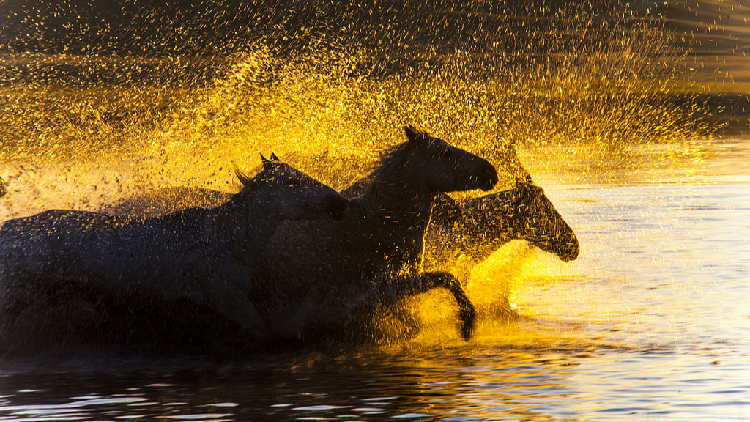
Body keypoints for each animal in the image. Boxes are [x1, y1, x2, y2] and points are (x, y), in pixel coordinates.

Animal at [0, 155, 352, 350]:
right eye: (292, 181)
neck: (227, 239)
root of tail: (6, 231)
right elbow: (261, 332)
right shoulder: (226, 295)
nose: (340, 203)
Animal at [248, 125, 500, 342]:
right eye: (445, 152)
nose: (491, 172)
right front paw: (467, 320)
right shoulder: (385, 289)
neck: (380, 225)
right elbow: (447, 278)